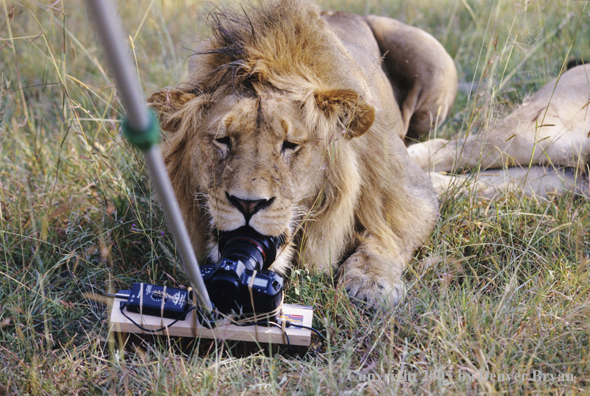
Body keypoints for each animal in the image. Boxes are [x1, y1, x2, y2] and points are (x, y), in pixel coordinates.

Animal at [147, 0, 458, 310]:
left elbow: (388, 236)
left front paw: (370, 281)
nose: (247, 204)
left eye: (290, 144)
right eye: (223, 140)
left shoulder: (413, 191)